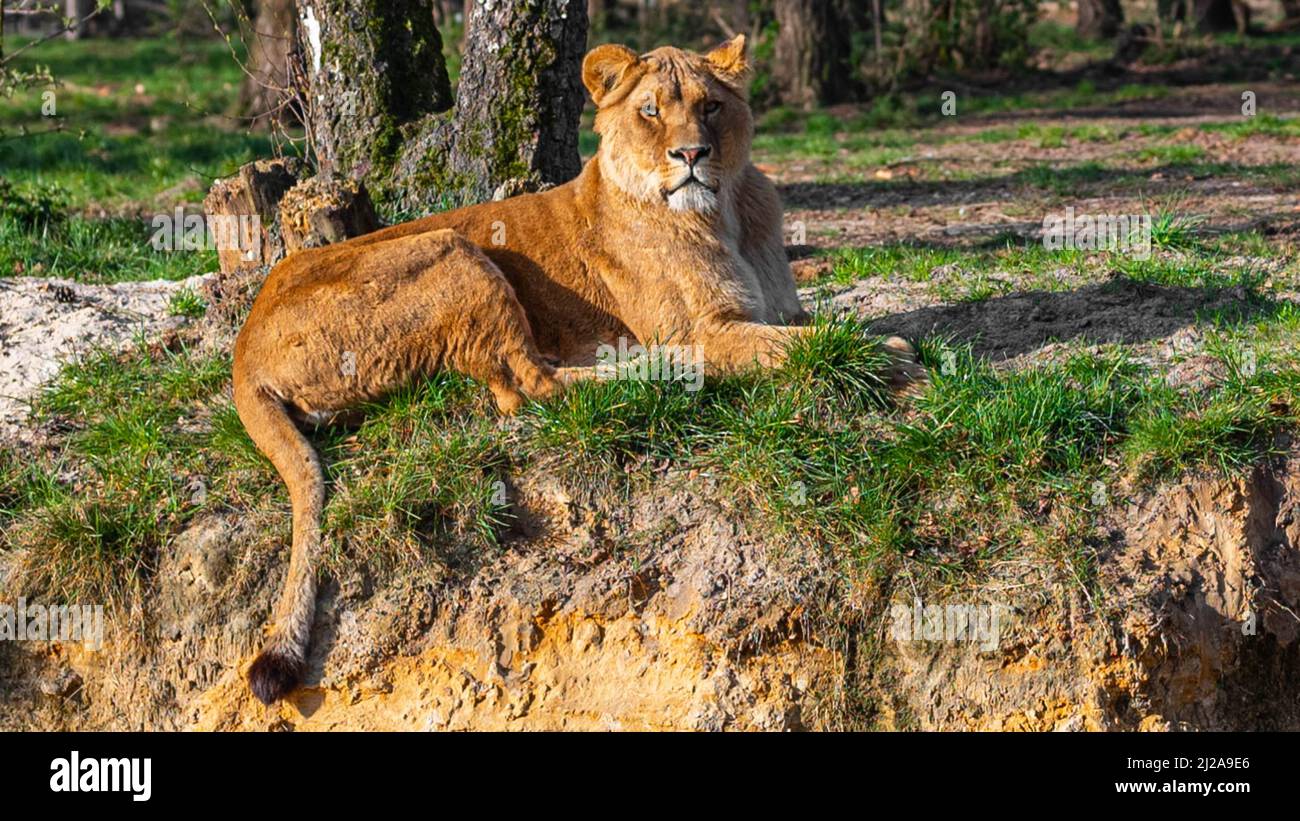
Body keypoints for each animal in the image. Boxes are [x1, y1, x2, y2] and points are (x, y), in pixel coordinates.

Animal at [233, 34, 924, 705]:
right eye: (651, 111)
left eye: (711, 107)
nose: (691, 154)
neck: (726, 211)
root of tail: (243, 349)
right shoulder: (707, 328)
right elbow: (806, 346)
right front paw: (889, 357)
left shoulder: (778, 308)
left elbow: (823, 326)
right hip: (452, 249)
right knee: (529, 387)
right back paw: (654, 368)